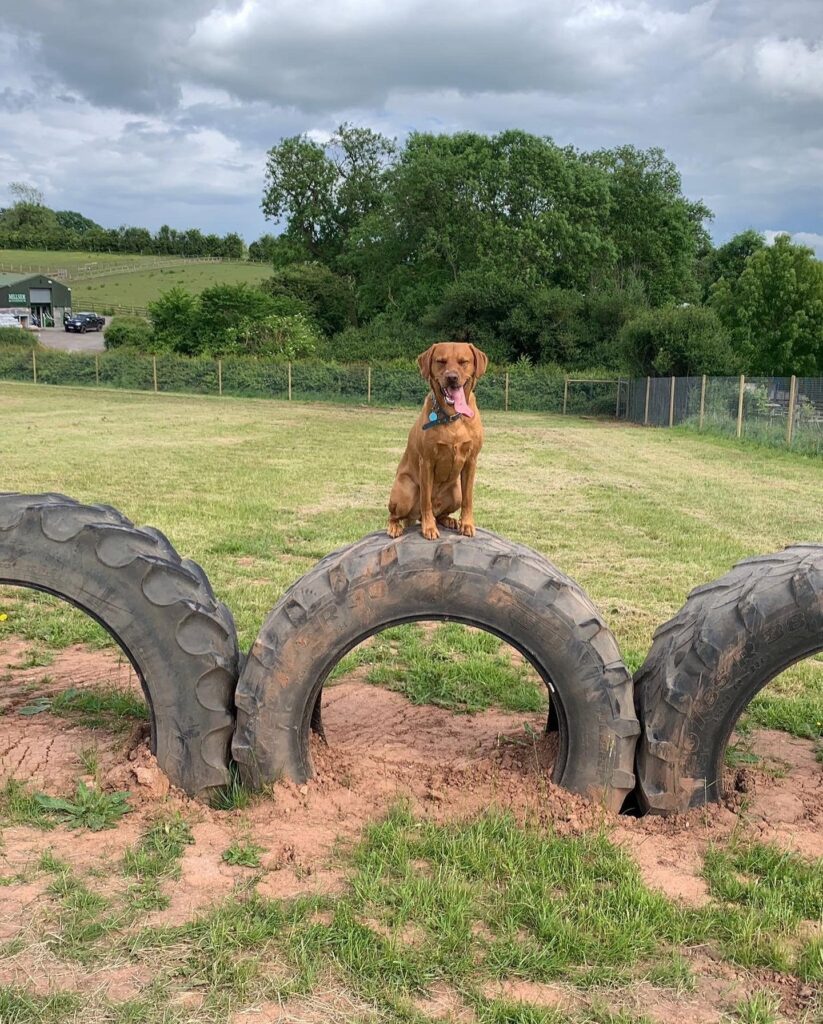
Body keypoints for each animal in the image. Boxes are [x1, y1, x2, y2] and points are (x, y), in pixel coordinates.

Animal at [387, 341, 488, 540]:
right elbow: (425, 499)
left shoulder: (471, 461)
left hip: (455, 492)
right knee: (395, 515)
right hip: (405, 491)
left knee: (442, 512)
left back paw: (448, 520)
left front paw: (467, 524)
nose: (452, 378)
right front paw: (429, 528)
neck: (453, 416)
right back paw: (395, 526)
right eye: (441, 361)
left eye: (463, 361)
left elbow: (468, 499)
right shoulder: (426, 461)